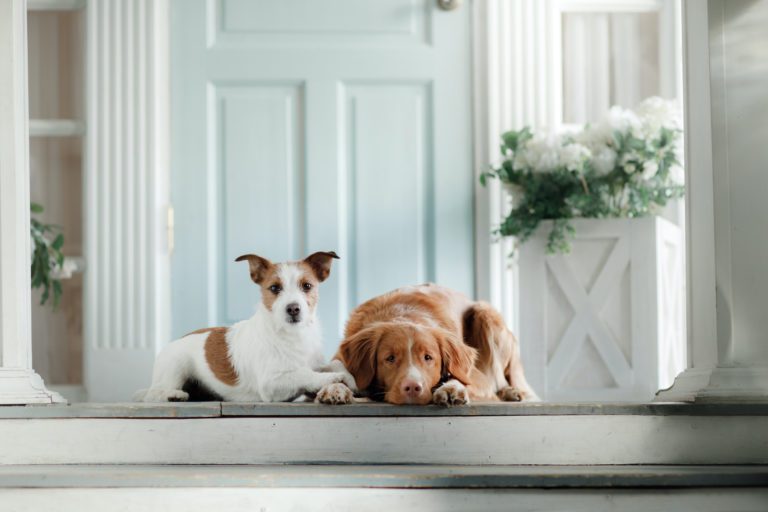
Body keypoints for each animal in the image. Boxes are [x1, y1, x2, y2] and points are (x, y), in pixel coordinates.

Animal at [134, 252, 354, 404]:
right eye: (274, 288)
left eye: (307, 286)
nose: (293, 308)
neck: (292, 335)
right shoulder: (271, 384)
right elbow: (304, 373)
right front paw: (334, 378)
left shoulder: (314, 363)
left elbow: (332, 364)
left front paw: (348, 378)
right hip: (176, 365)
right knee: (153, 393)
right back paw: (172, 395)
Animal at [316, 282, 536, 406]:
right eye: (390, 358)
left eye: (428, 358)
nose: (413, 388)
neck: (402, 313)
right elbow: (337, 376)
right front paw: (334, 389)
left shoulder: (477, 377)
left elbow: (462, 381)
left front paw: (451, 389)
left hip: (485, 314)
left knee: (501, 379)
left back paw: (512, 392)